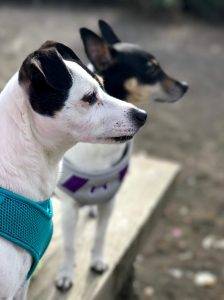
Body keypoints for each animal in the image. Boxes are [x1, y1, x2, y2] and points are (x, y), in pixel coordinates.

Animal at [55, 19, 188, 292]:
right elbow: (69, 245)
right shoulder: (69, 208)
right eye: (151, 69)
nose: (185, 85)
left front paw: (97, 261)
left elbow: (100, 235)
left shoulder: (110, 201)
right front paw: (66, 274)